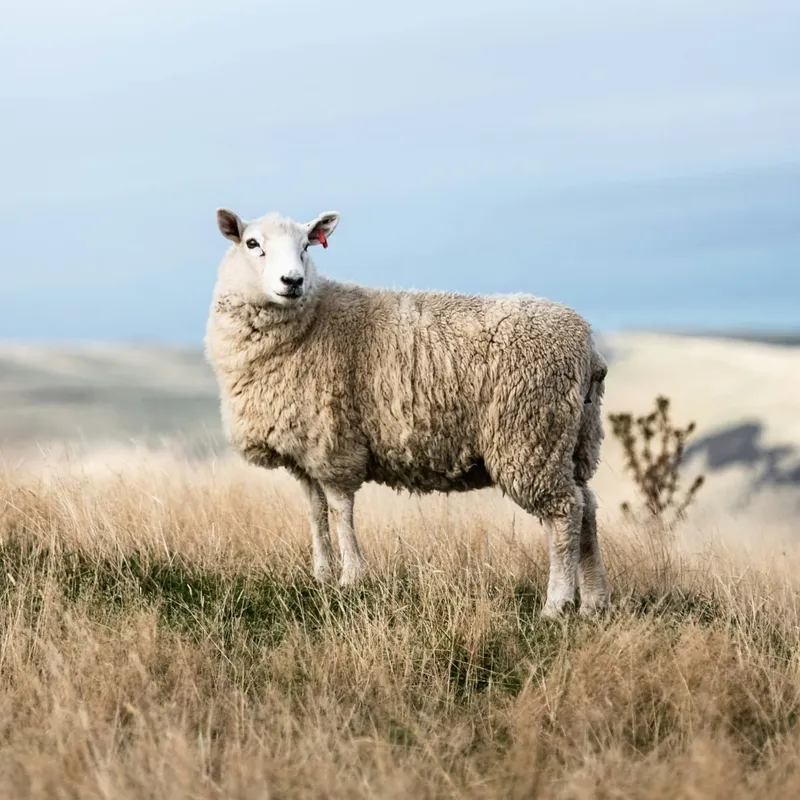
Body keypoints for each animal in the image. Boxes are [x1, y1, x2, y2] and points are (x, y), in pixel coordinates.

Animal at [204, 206, 610, 617]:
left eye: (306, 246)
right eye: (252, 243)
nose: (293, 281)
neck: (313, 319)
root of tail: (587, 346)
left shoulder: (335, 445)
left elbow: (340, 511)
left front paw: (351, 577)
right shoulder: (305, 451)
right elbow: (315, 512)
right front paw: (321, 575)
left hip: (530, 436)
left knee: (564, 513)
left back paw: (556, 604)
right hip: (572, 439)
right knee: (587, 507)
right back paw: (593, 601)